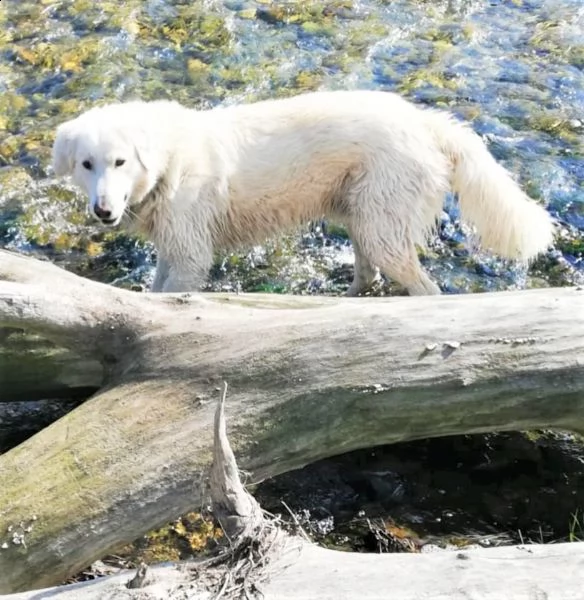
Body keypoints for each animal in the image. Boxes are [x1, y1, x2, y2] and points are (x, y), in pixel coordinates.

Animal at [50, 90, 552, 294]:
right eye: (87, 165)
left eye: (121, 162)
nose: (103, 212)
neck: (168, 163)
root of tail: (425, 121)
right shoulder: (173, 247)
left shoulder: (191, 255)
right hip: (364, 218)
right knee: (368, 274)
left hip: (381, 223)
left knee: (423, 288)